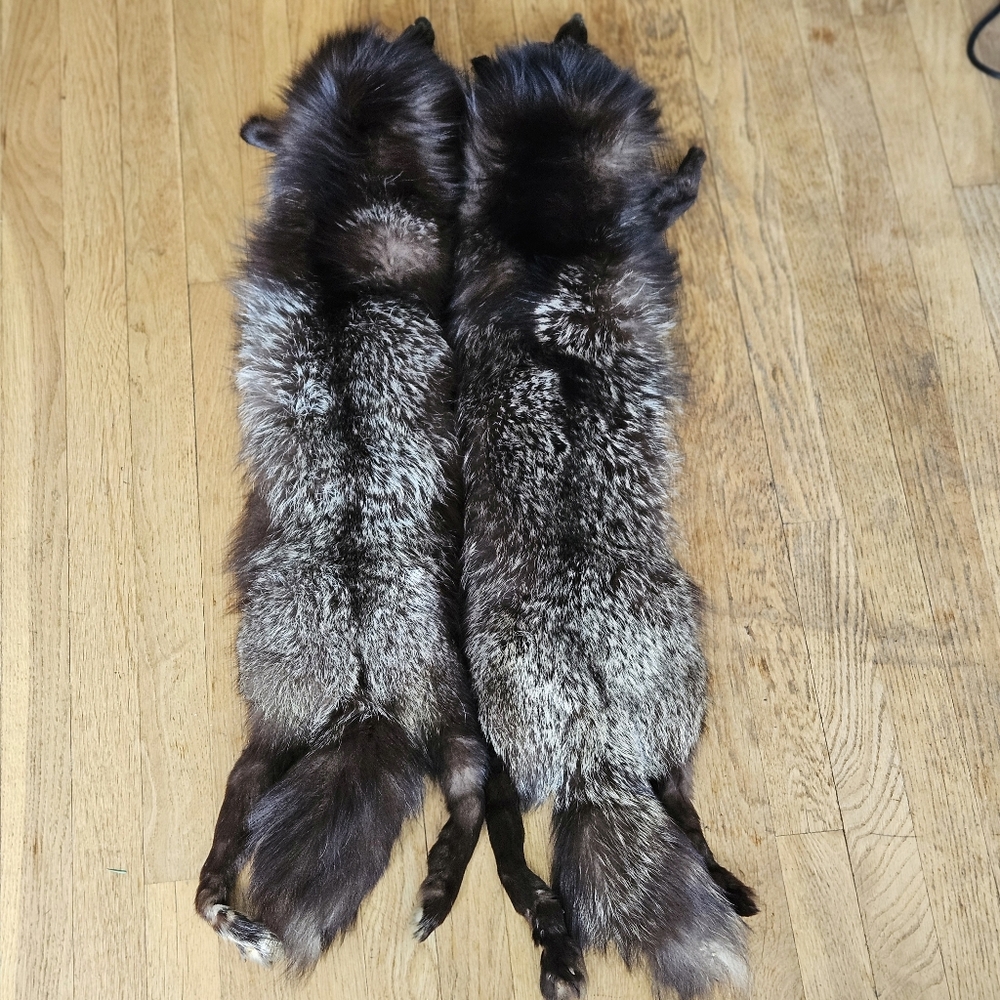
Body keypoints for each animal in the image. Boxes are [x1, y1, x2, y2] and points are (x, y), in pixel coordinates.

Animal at [194, 19, 487, 972]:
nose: (427, 26)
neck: (341, 189)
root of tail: (360, 681)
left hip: (275, 742)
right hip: (435, 708)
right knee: (472, 786)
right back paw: (438, 887)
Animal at [452, 15, 757, 1000]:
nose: (576, 26)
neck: (552, 235)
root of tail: (595, 740)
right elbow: (666, 201)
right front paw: (685, 170)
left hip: (597, 730)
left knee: (630, 818)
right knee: (552, 825)